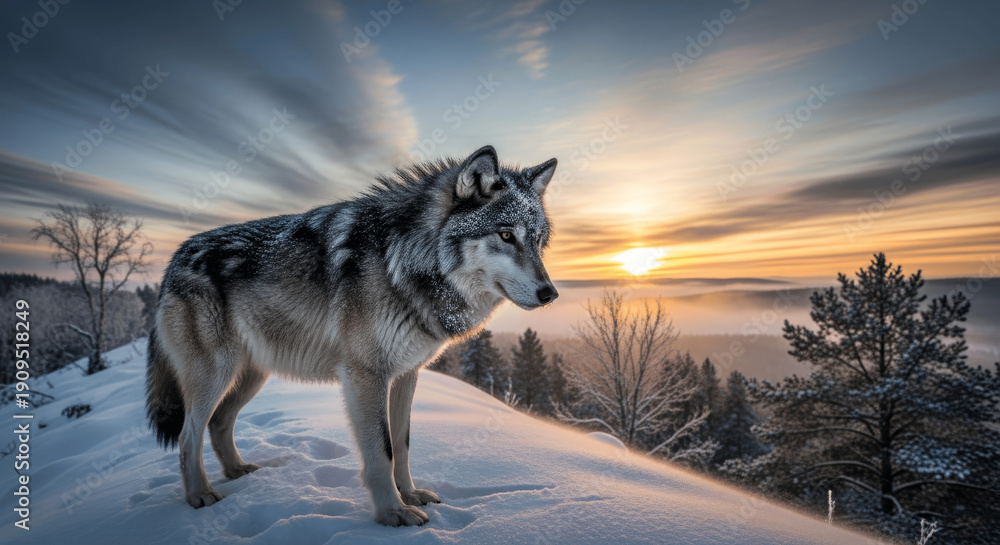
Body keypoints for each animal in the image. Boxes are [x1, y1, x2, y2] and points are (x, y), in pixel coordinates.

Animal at [145, 145, 559, 526]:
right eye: (505, 235)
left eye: (539, 241)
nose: (550, 293)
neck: (404, 259)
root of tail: (173, 261)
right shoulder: (366, 375)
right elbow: (382, 450)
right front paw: (393, 513)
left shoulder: (406, 374)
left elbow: (403, 444)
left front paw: (410, 495)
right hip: (215, 375)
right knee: (187, 436)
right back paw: (200, 495)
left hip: (251, 376)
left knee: (218, 423)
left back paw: (237, 472)